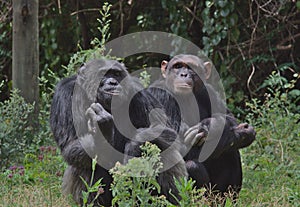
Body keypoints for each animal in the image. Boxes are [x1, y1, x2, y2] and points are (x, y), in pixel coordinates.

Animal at [50, 58, 188, 207]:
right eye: (104, 74)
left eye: (116, 74)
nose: (112, 82)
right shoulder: (65, 94)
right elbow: (70, 145)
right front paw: (102, 134)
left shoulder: (138, 91)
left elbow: (165, 130)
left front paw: (132, 147)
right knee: (83, 164)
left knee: (164, 151)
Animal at [148, 54, 255, 200]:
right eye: (177, 66)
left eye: (192, 68)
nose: (184, 74)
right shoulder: (160, 94)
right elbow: (174, 147)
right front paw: (242, 132)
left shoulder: (208, 91)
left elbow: (229, 117)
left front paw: (211, 127)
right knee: (192, 166)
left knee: (231, 152)